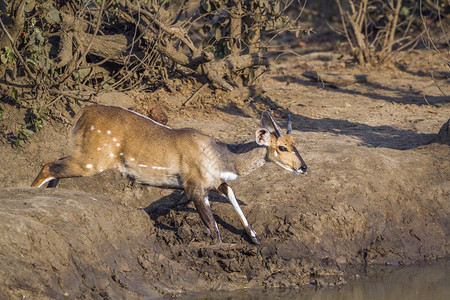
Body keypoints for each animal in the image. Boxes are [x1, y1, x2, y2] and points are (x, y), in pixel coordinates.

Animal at [30, 105, 306, 244]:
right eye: (282, 147)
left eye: (296, 143)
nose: (303, 167)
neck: (221, 156)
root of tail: (81, 115)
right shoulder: (194, 187)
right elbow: (213, 228)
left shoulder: (217, 184)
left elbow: (233, 198)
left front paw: (255, 238)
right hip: (93, 160)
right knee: (47, 165)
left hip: (85, 156)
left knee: (54, 167)